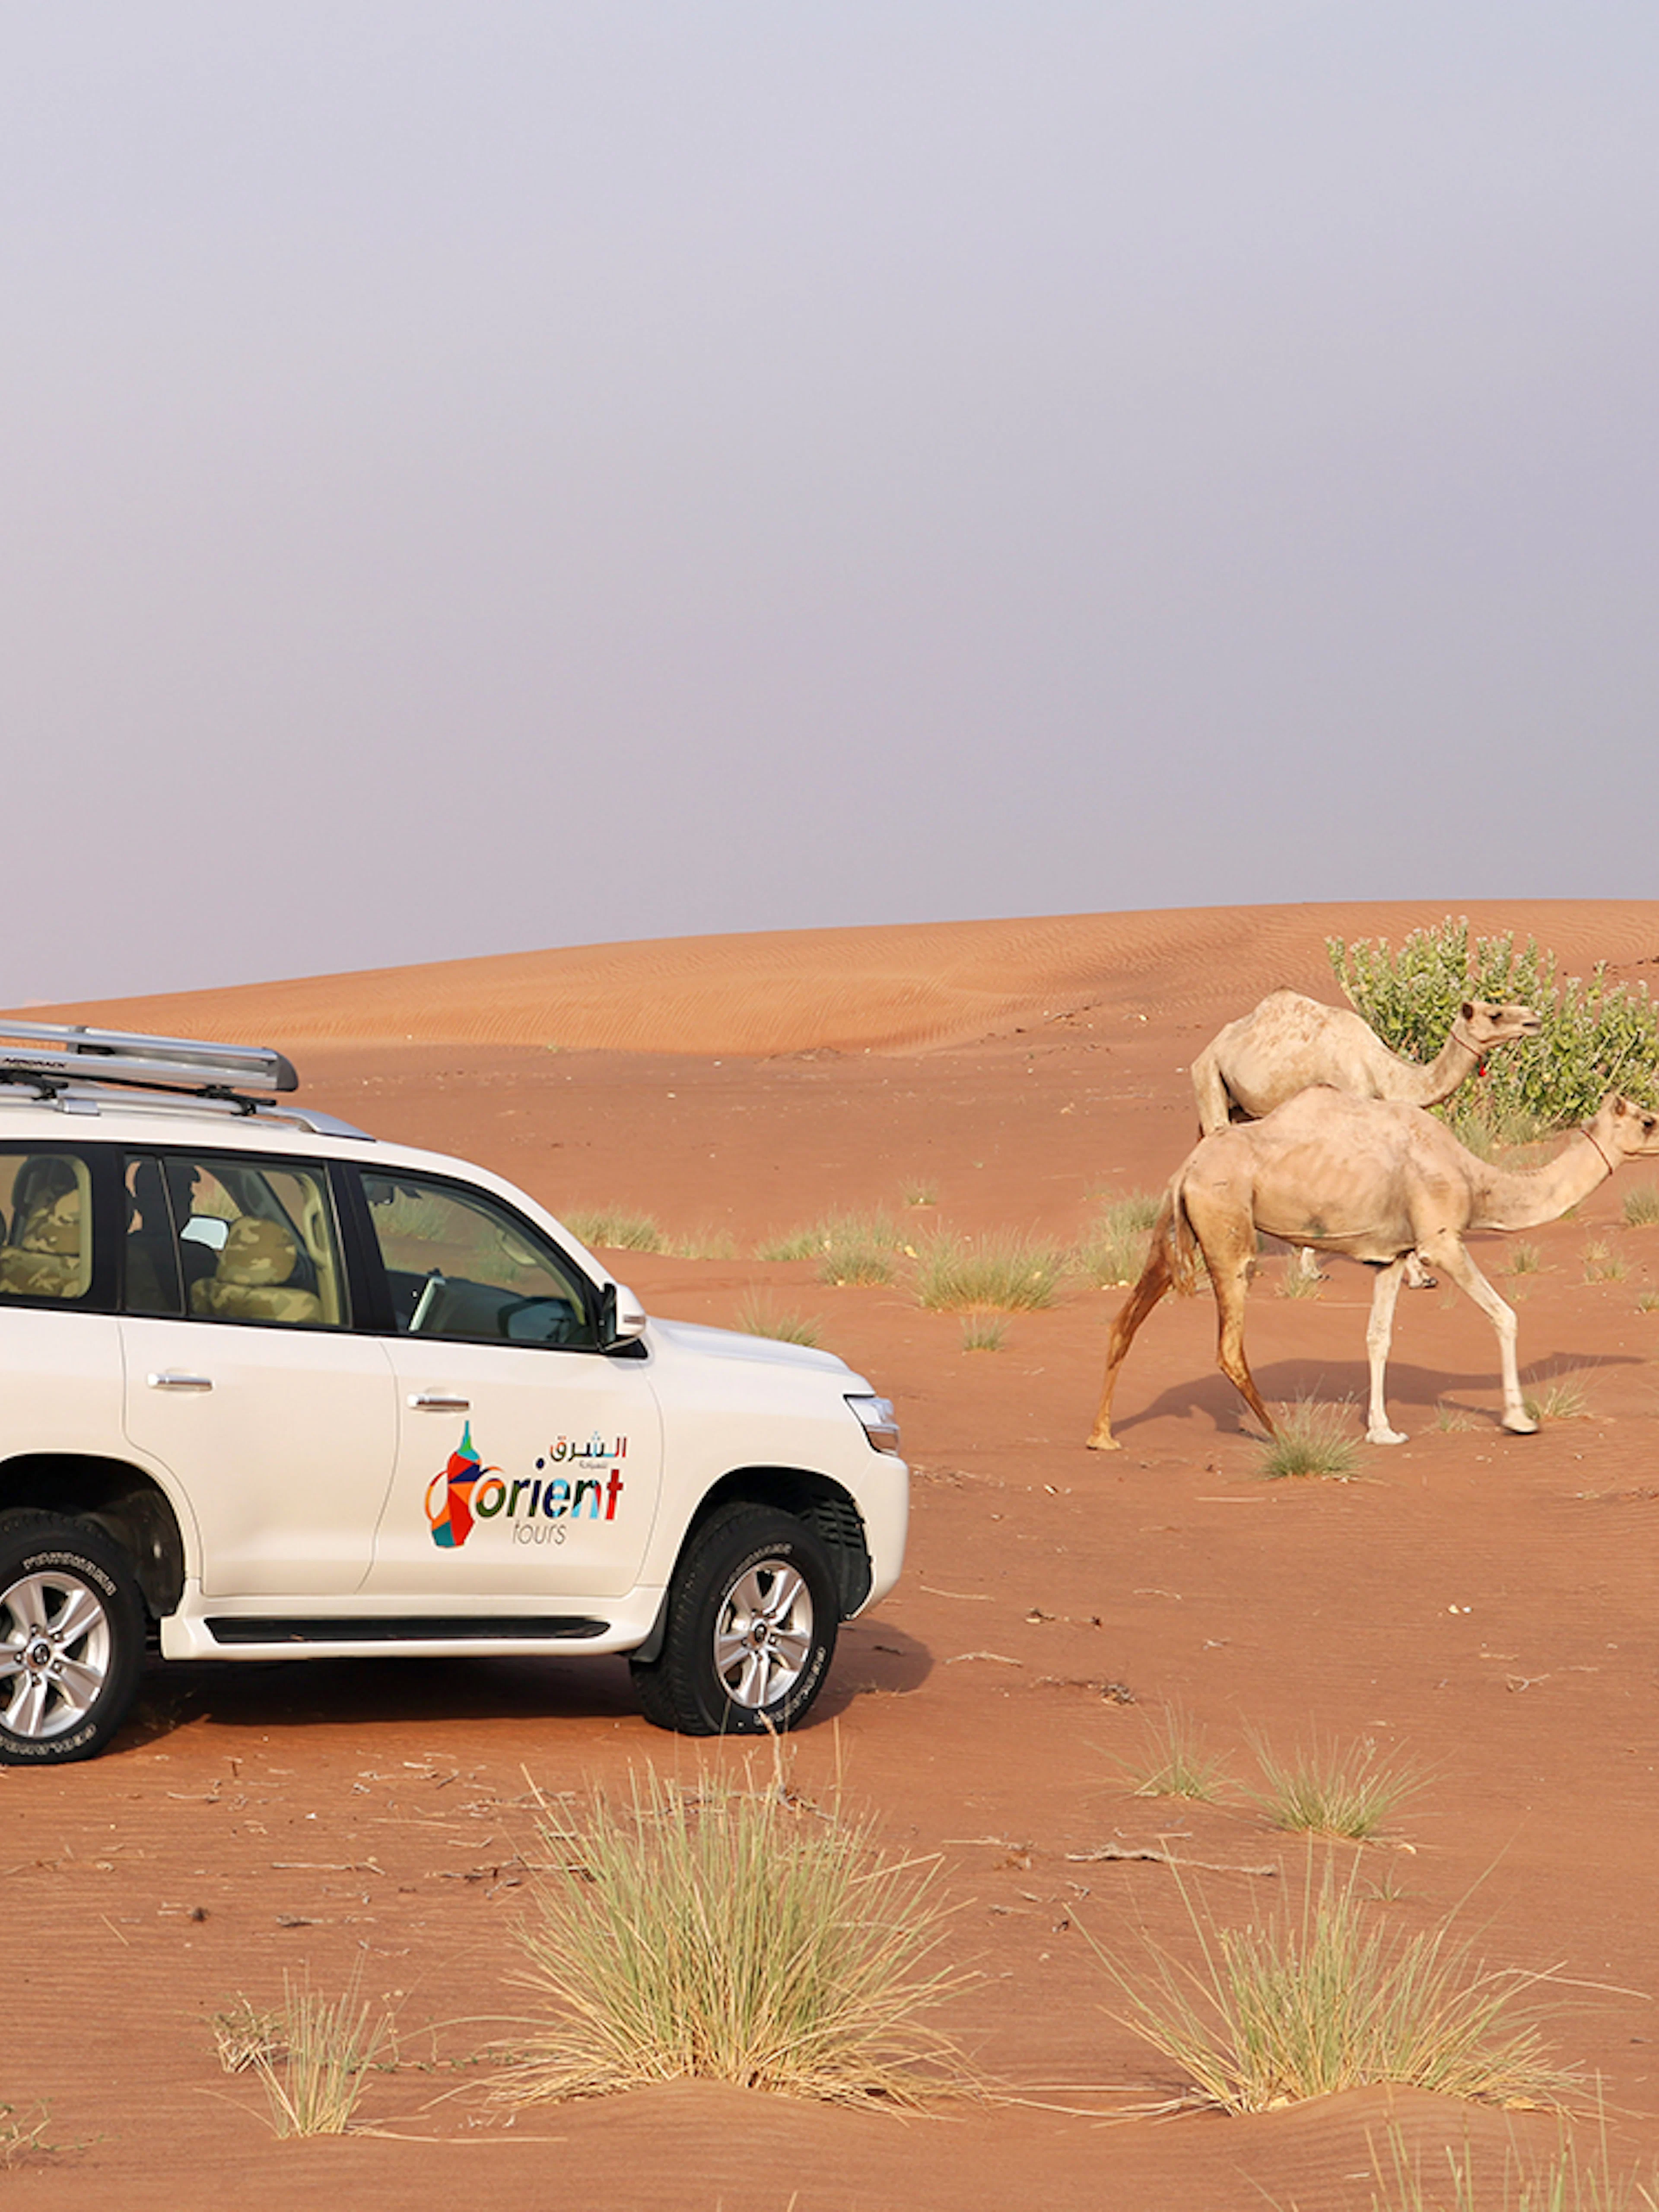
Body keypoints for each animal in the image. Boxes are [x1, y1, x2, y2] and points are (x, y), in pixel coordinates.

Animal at [1086, 1087, 1659, 1452]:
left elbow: (1378, 1337)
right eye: (1647, 1119)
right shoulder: (1440, 1240)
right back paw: (1283, 1436)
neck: (1477, 1181)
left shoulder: (1391, 1256)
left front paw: (1383, 1430)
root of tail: (1185, 1170)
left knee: (1123, 1322)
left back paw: (1103, 1436)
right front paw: (1519, 1419)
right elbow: (1506, 1315)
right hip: (1228, 1234)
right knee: (1228, 1345)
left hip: (1175, 1233)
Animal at [1191, 992, 1541, 1287]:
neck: (1380, 1069)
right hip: (1209, 1075)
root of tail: (1212, 1046)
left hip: (1241, 1106)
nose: (1534, 1020)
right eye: (1495, 1014)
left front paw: (1419, 1275)